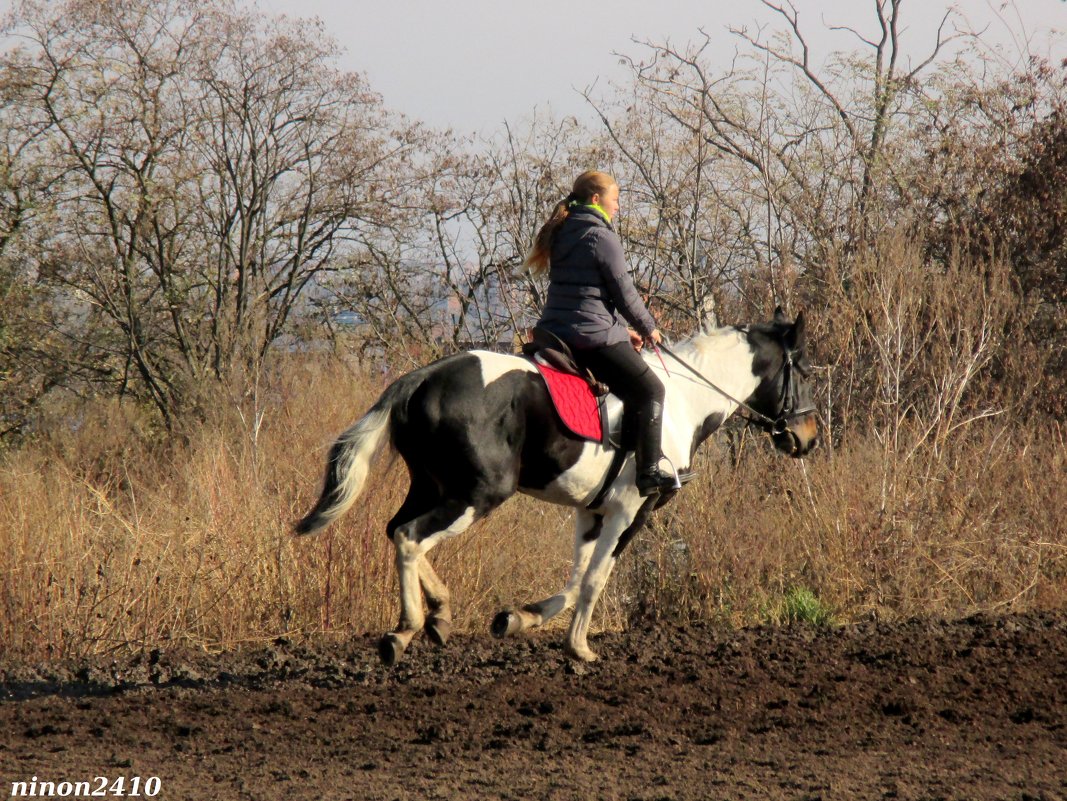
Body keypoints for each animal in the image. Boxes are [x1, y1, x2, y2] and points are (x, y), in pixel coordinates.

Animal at [292, 307, 815, 665]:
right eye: (805, 371)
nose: (806, 438)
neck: (685, 399)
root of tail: (421, 378)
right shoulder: (632, 510)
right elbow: (595, 578)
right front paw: (579, 647)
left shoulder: (591, 511)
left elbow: (574, 578)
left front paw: (518, 619)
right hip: (477, 495)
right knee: (408, 538)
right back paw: (407, 628)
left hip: (431, 485)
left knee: (397, 530)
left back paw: (439, 615)